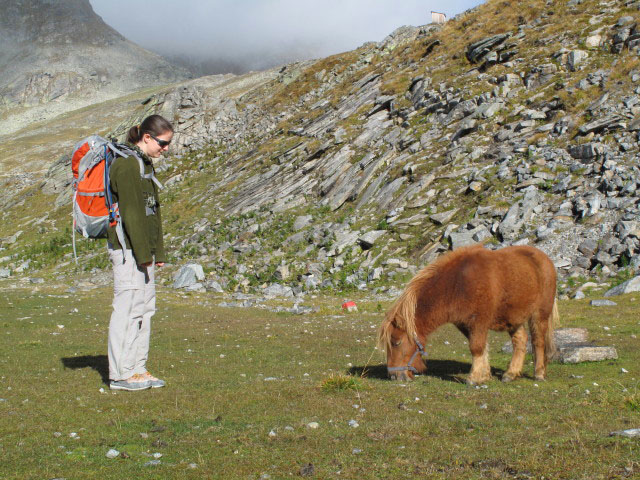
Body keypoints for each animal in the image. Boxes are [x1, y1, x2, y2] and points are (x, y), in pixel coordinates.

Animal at [378, 246, 556, 384]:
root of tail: (545, 258)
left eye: (396, 342)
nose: (394, 375)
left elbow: (476, 347)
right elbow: (481, 347)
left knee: (538, 341)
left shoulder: (479, 322)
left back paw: (539, 373)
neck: (457, 285)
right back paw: (510, 374)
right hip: (512, 318)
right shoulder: (465, 324)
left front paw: (474, 378)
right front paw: (484, 374)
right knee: (520, 340)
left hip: (539, 315)